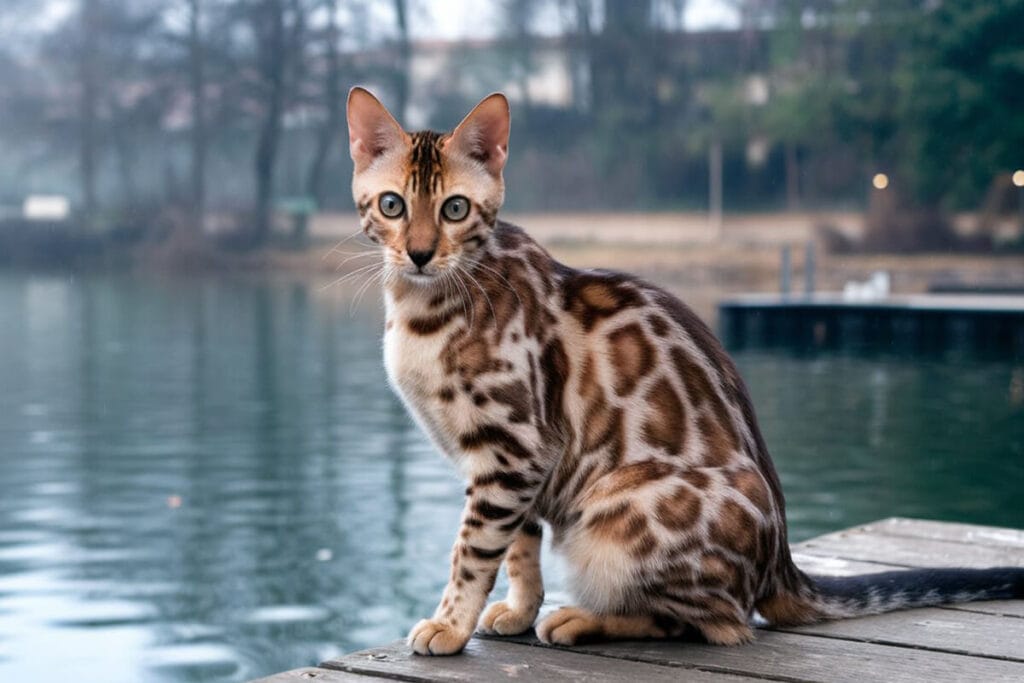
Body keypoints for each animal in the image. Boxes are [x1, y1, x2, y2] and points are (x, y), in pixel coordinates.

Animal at [346, 88, 1024, 655]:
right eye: (393, 205)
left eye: (455, 208)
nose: (420, 253)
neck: (422, 308)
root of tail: (780, 562)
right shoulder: (511, 464)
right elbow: (520, 548)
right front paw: (516, 609)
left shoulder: (514, 448)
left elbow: (474, 550)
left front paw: (451, 625)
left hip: (616, 519)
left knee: (718, 623)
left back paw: (583, 619)